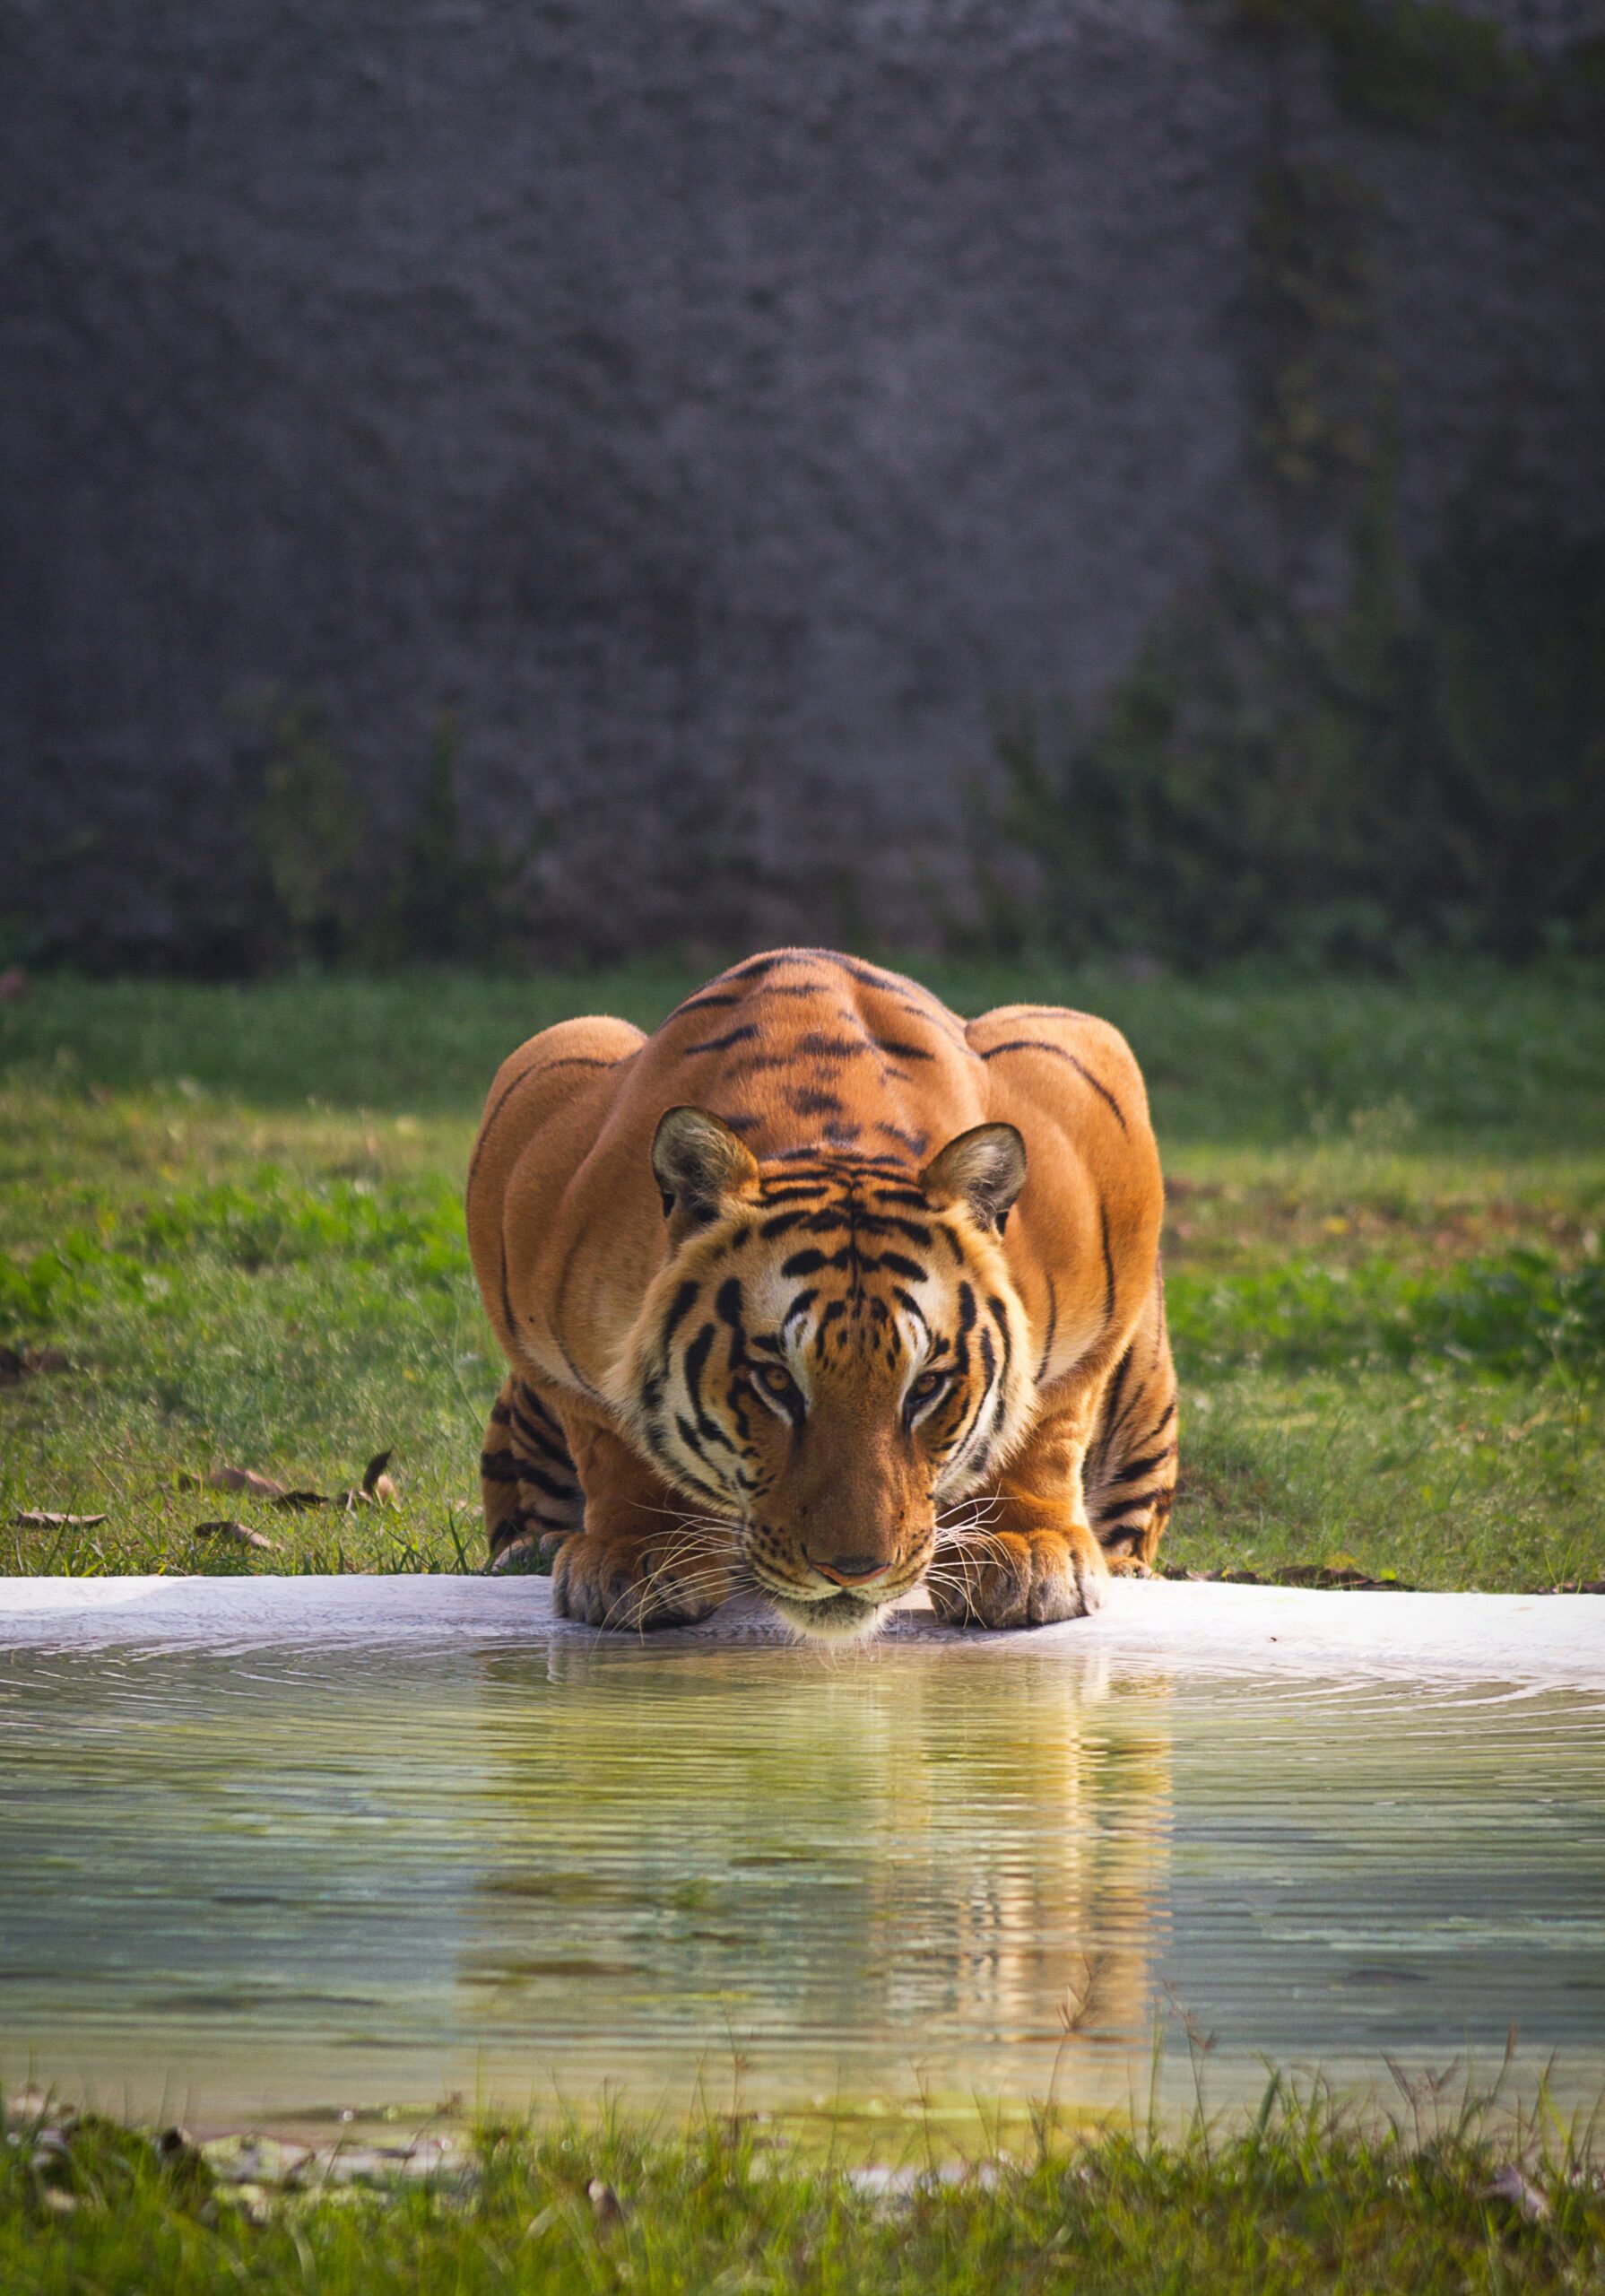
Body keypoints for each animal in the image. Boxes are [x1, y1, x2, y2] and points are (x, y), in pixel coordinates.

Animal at [465, 948, 1177, 1640]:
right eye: (776, 1382)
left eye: (927, 1386)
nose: (853, 1571)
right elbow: (609, 1435)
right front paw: (637, 1555)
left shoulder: (1091, 1097)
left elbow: (1050, 1418)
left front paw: (1026, 1552)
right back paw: (533, 1550)